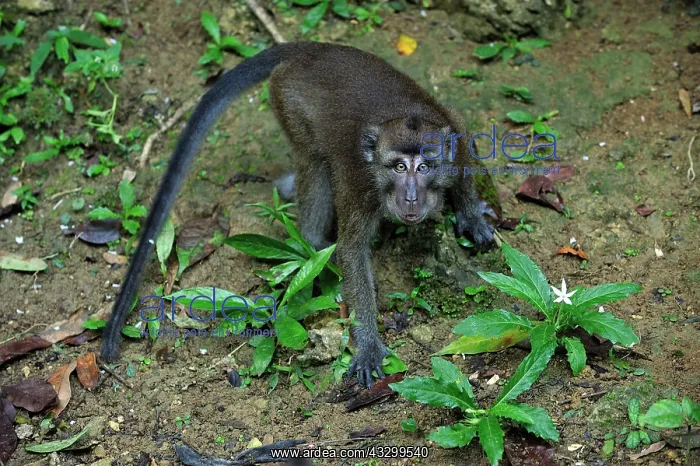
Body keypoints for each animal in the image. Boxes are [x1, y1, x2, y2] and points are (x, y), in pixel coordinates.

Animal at [101, 41, 496, 388]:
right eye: (399, 167)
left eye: (424, 166)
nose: (411, 198)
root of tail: (314, 48)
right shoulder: (361, 186)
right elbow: (352, 251)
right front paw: (368, 344)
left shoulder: (451, 130)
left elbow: (463, 140)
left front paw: (471, 215)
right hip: (287, 97)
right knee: (314, 160)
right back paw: (314, 245)